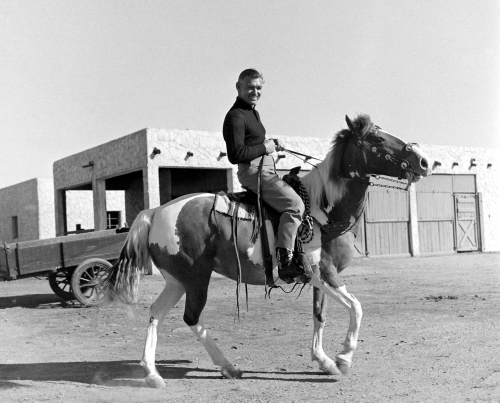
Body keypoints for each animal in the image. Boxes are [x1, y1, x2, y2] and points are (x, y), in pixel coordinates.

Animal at [103, 113, 432, 388]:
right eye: (376, 139)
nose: (424, 161)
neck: (321, 209)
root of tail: (156, 212)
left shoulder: (320, 278)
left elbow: (319, 315)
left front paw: (324, 361)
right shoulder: (324, 273)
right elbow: (357, 308)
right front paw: (344, 358)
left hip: (177, 281)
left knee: (156, 313)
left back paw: (153, 373)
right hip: (196, 279)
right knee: (191, 317)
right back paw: (228, 366)